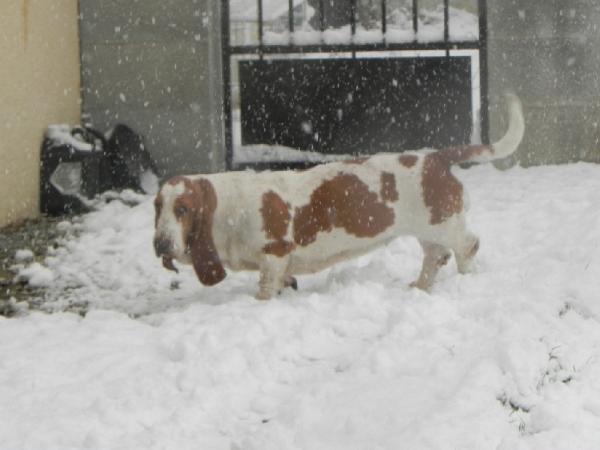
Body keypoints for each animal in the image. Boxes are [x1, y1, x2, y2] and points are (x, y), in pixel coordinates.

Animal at [155, 94, 524, 298]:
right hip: (428, 230)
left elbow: (264, 292)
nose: (160, 244)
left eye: (183, 209)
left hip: (444, 226)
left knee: (467, 246)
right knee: (434, 257)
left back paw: (465, 279)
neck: (227, 210)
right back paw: (420, 288)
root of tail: (435, 158)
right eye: (157, 207)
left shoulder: (273, 258)